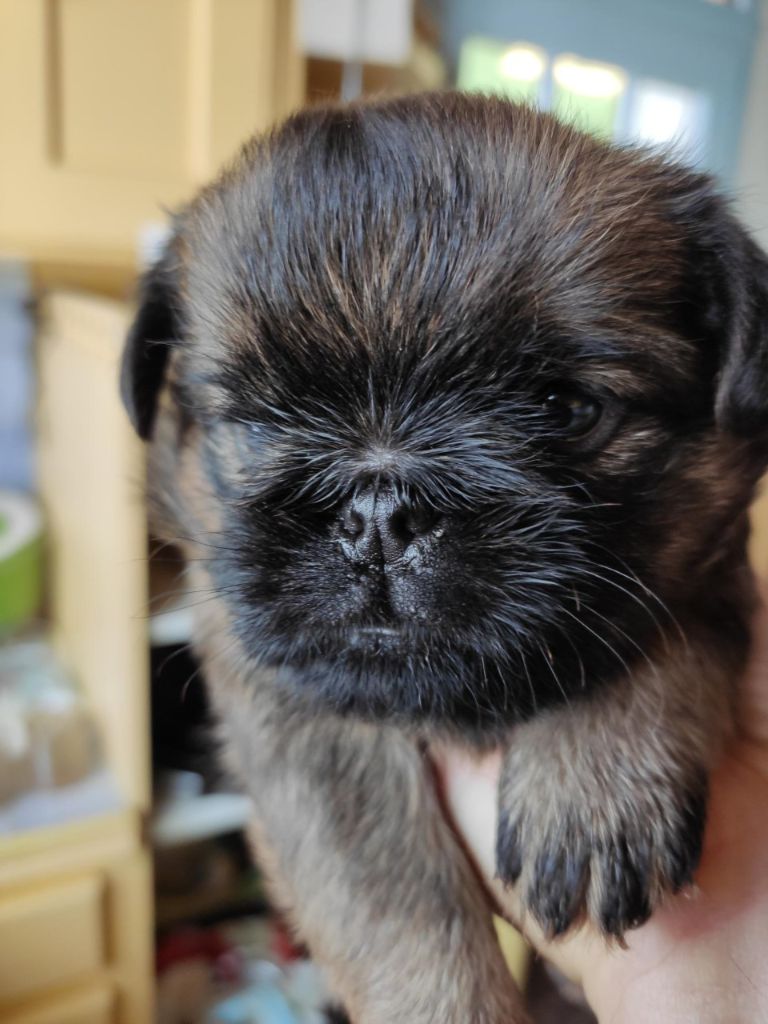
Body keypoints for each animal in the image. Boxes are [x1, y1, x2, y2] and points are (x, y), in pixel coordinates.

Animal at [118, 92, 768, 1019]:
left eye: (563, 409)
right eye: (257, 427)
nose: (379, 512)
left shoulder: (713, 573)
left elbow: (659, 635)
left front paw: (596, 776)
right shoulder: (298, 725)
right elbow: (399, 909)